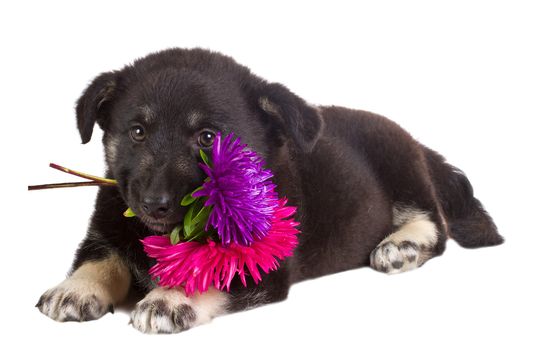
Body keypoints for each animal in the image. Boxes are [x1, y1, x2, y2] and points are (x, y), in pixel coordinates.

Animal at [35, 47, 504, 334]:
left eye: (207, 138)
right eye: (137, 132)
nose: (153, 204)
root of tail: (420, 145)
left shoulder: (259, 262)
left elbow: (208, 267)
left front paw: (170, 298)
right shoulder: (108, 228)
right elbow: (100, 259)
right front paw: (76, 288)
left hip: (399, 161)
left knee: (434, 223)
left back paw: (401, 245)